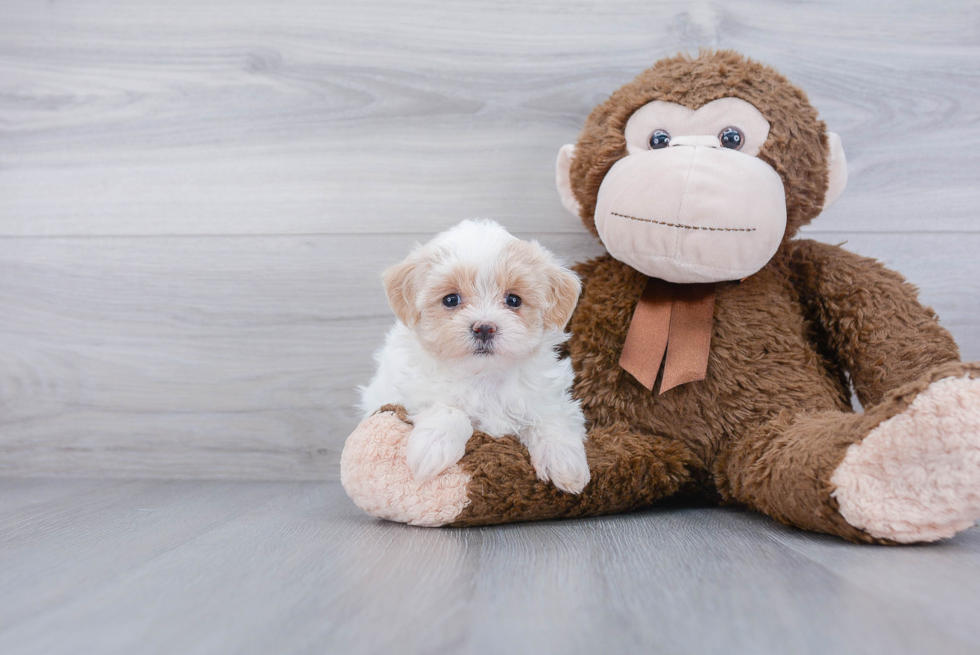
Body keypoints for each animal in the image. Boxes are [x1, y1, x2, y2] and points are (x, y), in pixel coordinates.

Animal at [360, 219, 588, 492]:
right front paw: (433, 446)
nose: (484, 328)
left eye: (513, 300)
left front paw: (565, 462)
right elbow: (449, 409)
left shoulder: (549, 397)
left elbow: (552, 419)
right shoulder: (411, 393)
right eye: (451, 299)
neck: (484, 376)